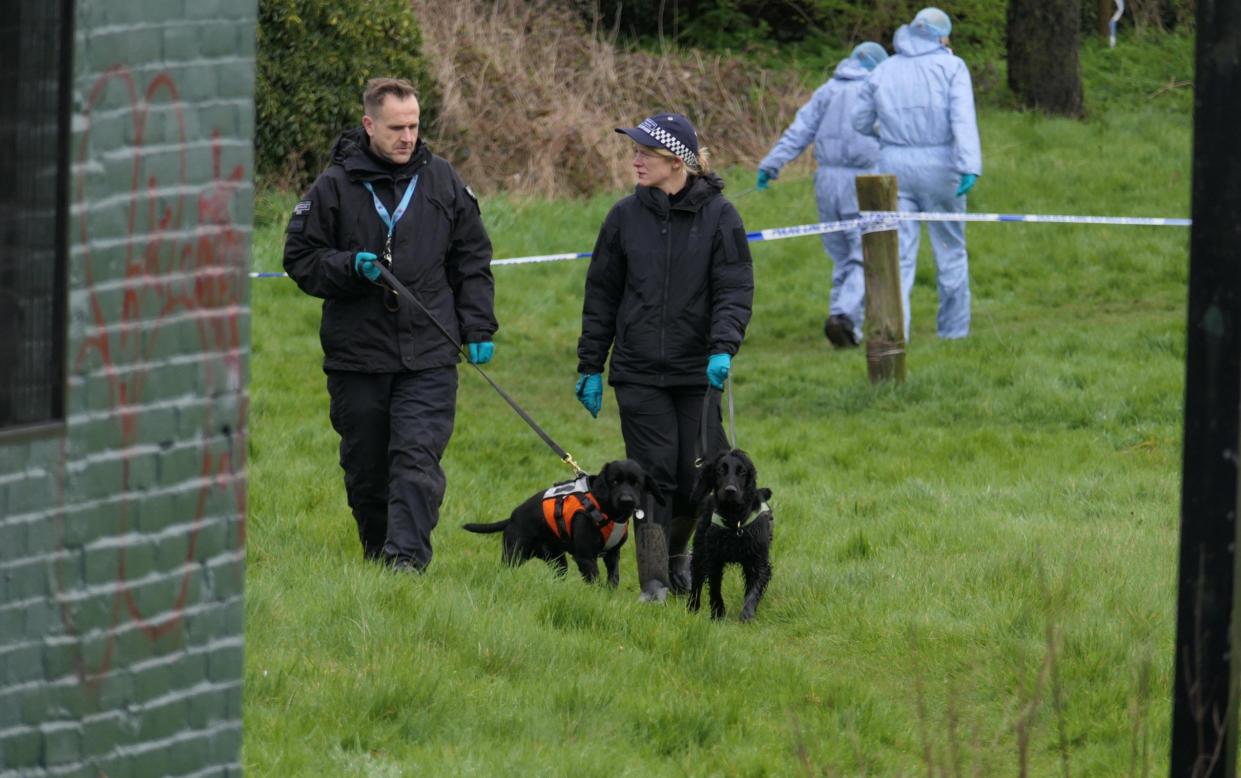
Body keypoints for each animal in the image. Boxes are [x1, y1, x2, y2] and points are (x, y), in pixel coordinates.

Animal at [464, 461, 660, 585]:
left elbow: (613, 580)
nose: (627, 500)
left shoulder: (612, 555)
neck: (606, 510)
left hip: (557, 560)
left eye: (636, 483)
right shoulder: (585, 557)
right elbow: (595, 581)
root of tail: (511, 518)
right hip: (515, 554)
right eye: (615, 481)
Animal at [685, 451, 769, 620]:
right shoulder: (713, 558)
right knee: (696, 580)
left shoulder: (758, 560)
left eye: (742, 472)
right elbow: (715, 587)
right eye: (720, 470)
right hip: (699, 551)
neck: (734, 520)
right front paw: (718, 613)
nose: (730, 490)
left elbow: (753, 589)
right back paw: (692, 608)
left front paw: (747, 615)